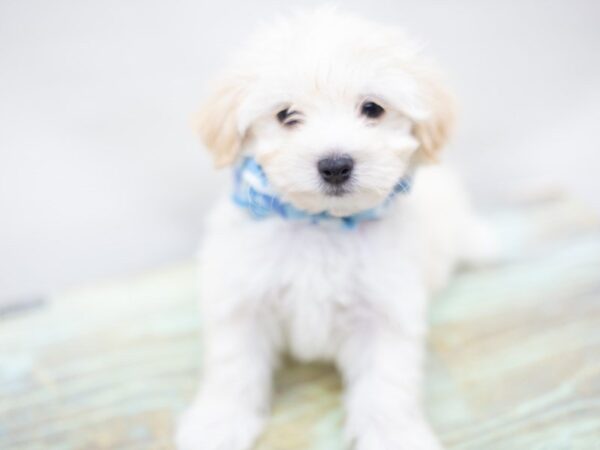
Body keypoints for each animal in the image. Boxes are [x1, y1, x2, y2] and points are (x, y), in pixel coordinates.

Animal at [176, 7, 490, 450]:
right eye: (285, 115)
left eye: (372, 108)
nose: (336, 165)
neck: (320, 222)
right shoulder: (242, 299)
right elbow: (233, 368)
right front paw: (218, 423)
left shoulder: (385, 311)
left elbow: (387, 384)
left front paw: (393, 435)